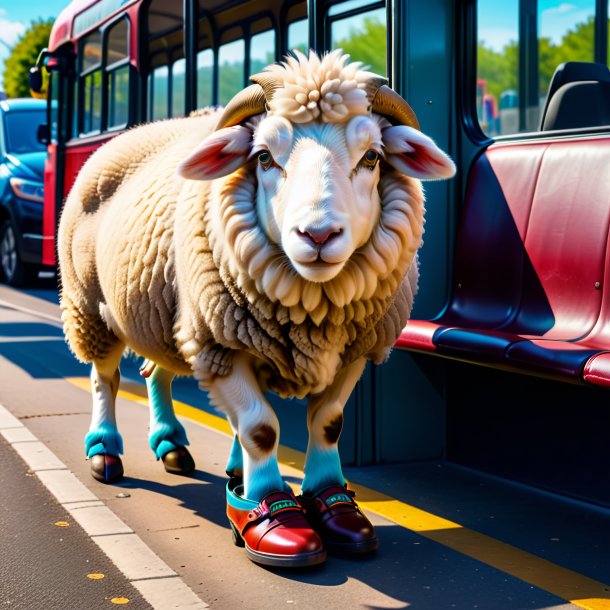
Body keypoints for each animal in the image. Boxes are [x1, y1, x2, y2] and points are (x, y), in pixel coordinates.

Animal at [59, 48, 454, 564]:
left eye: (372, 157)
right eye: (264, 157)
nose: (318, 235)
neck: (316, 312)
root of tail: (136, 130)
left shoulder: (353, 350)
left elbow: (327, 424)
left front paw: (336, 509)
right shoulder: (220, 345)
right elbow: (261, 429)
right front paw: (272, 516)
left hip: (171, 312)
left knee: (155, 371)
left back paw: (172, 444)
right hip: (91, 303)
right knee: (104, 378)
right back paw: (105, 450)